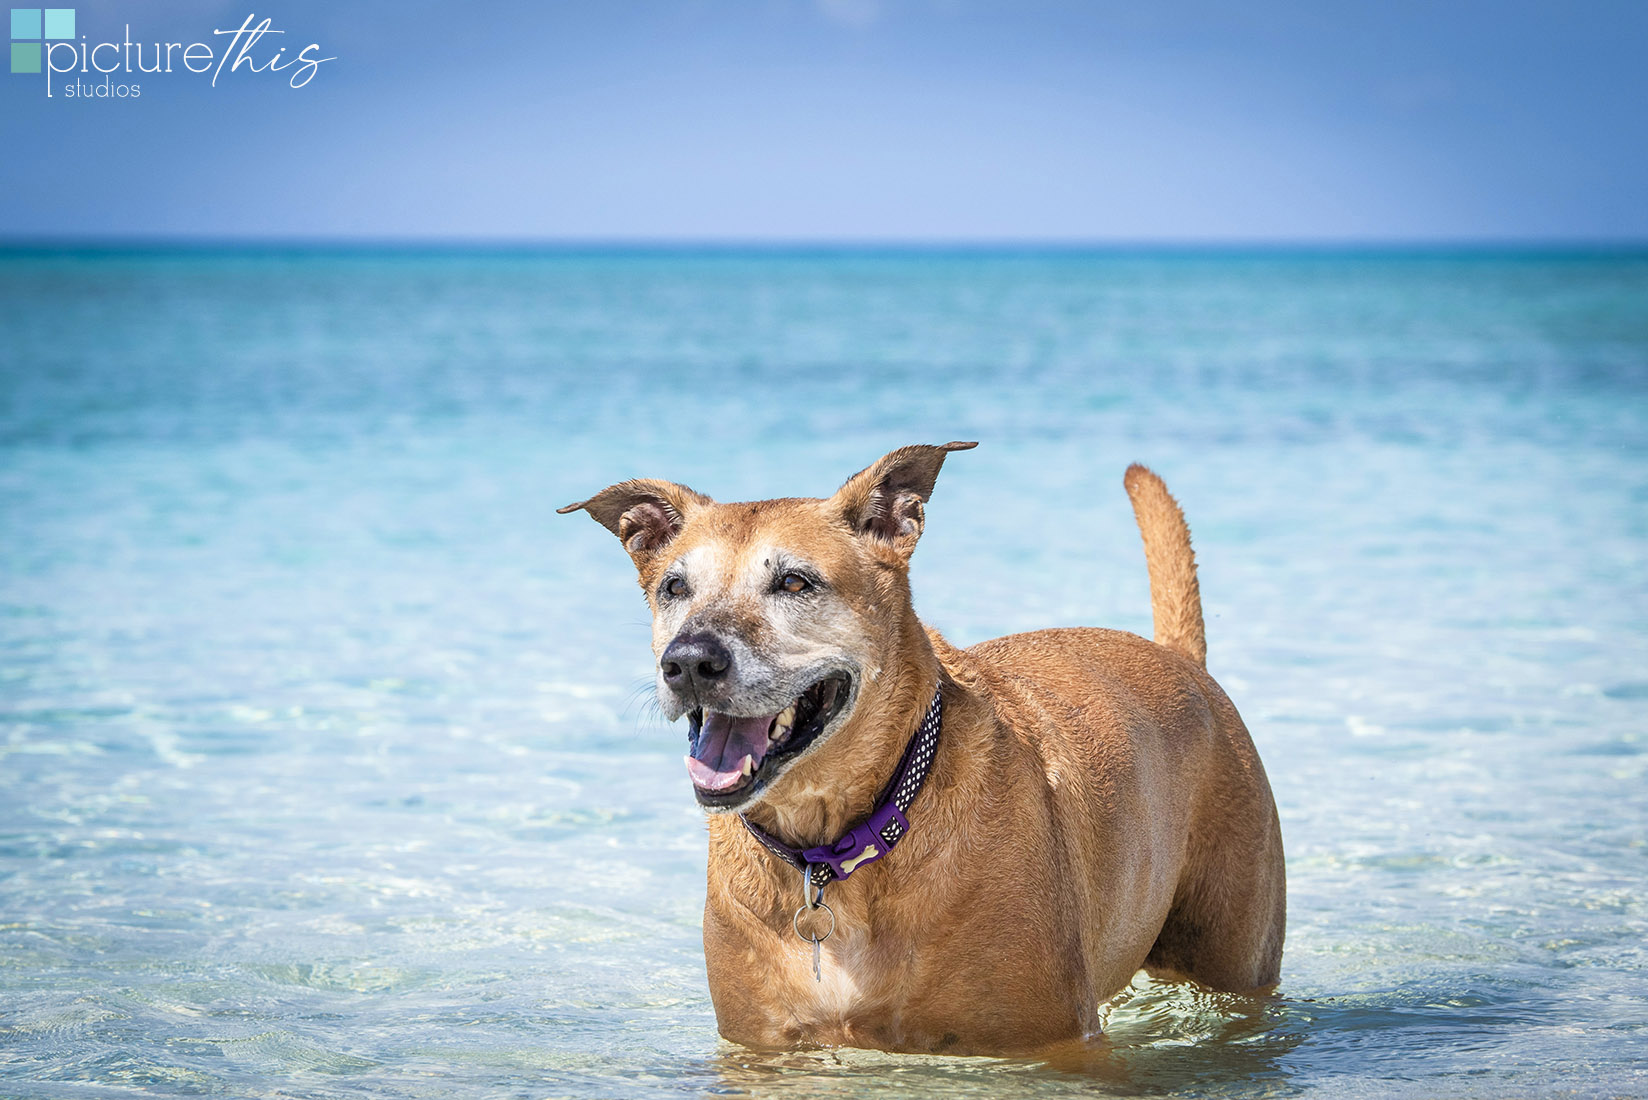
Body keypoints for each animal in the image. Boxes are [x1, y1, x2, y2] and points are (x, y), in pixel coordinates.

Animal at [563, 441, 1285, 1055]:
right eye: (674, 587)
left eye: (795, 583)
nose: (688, 662)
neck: (835, 852)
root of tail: (1179, 658)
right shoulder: (761, 1048)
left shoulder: (1049, 1043)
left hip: (1236, 950)